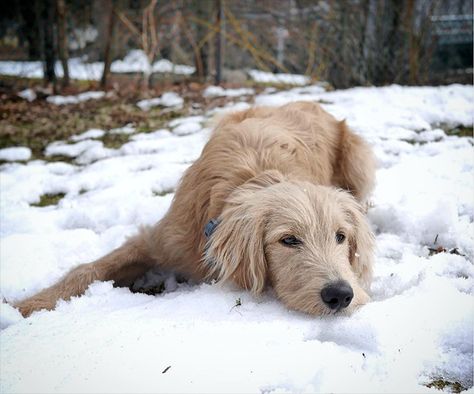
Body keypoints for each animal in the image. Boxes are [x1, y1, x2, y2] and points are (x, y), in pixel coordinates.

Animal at [14, 101, 376, 318]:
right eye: (288, 240)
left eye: (341, 237)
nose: (340, 295)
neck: (256, 178)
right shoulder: (161, 239)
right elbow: (86, 269)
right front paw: (28, 305)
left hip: (358, 157)